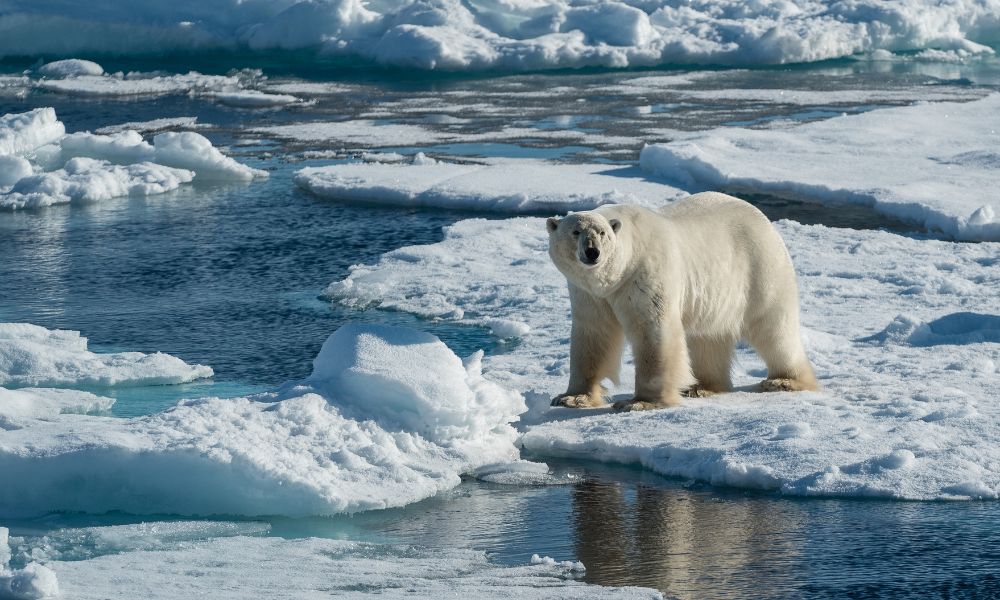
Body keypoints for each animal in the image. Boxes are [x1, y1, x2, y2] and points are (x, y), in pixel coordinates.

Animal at [552, 192, 816, 412]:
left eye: (602, 233)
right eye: (575, 232)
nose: (592, 252)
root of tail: (763, 219)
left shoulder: (645, 274)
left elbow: (653, 332)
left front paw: (640, 402)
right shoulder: (588, 293)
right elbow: (594, 334)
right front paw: (572, 397)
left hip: (760, 269)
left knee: (774, 328)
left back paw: (784, 380)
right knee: (709, 336)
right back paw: (702, 386)